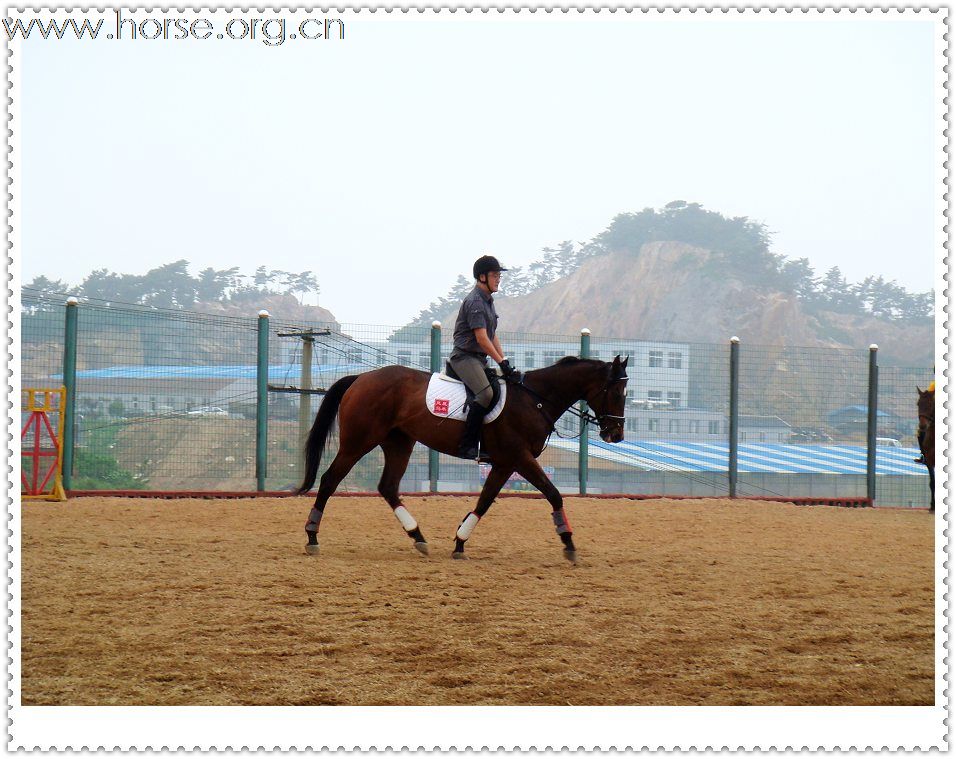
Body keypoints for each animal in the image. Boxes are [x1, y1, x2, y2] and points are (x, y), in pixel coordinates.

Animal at [296, 354, 628, 560]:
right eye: (616, 392)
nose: (615, 435)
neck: (534, 400)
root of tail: (361, 378)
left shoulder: (505, 463)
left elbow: (484, 501)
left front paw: (459, 542)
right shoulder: (520, 458)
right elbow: (554, 494)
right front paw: (568, 542)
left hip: (399, 443)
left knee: (388, 487)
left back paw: (418, 536)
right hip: (358, 442)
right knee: (329, 480)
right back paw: (312, 537)